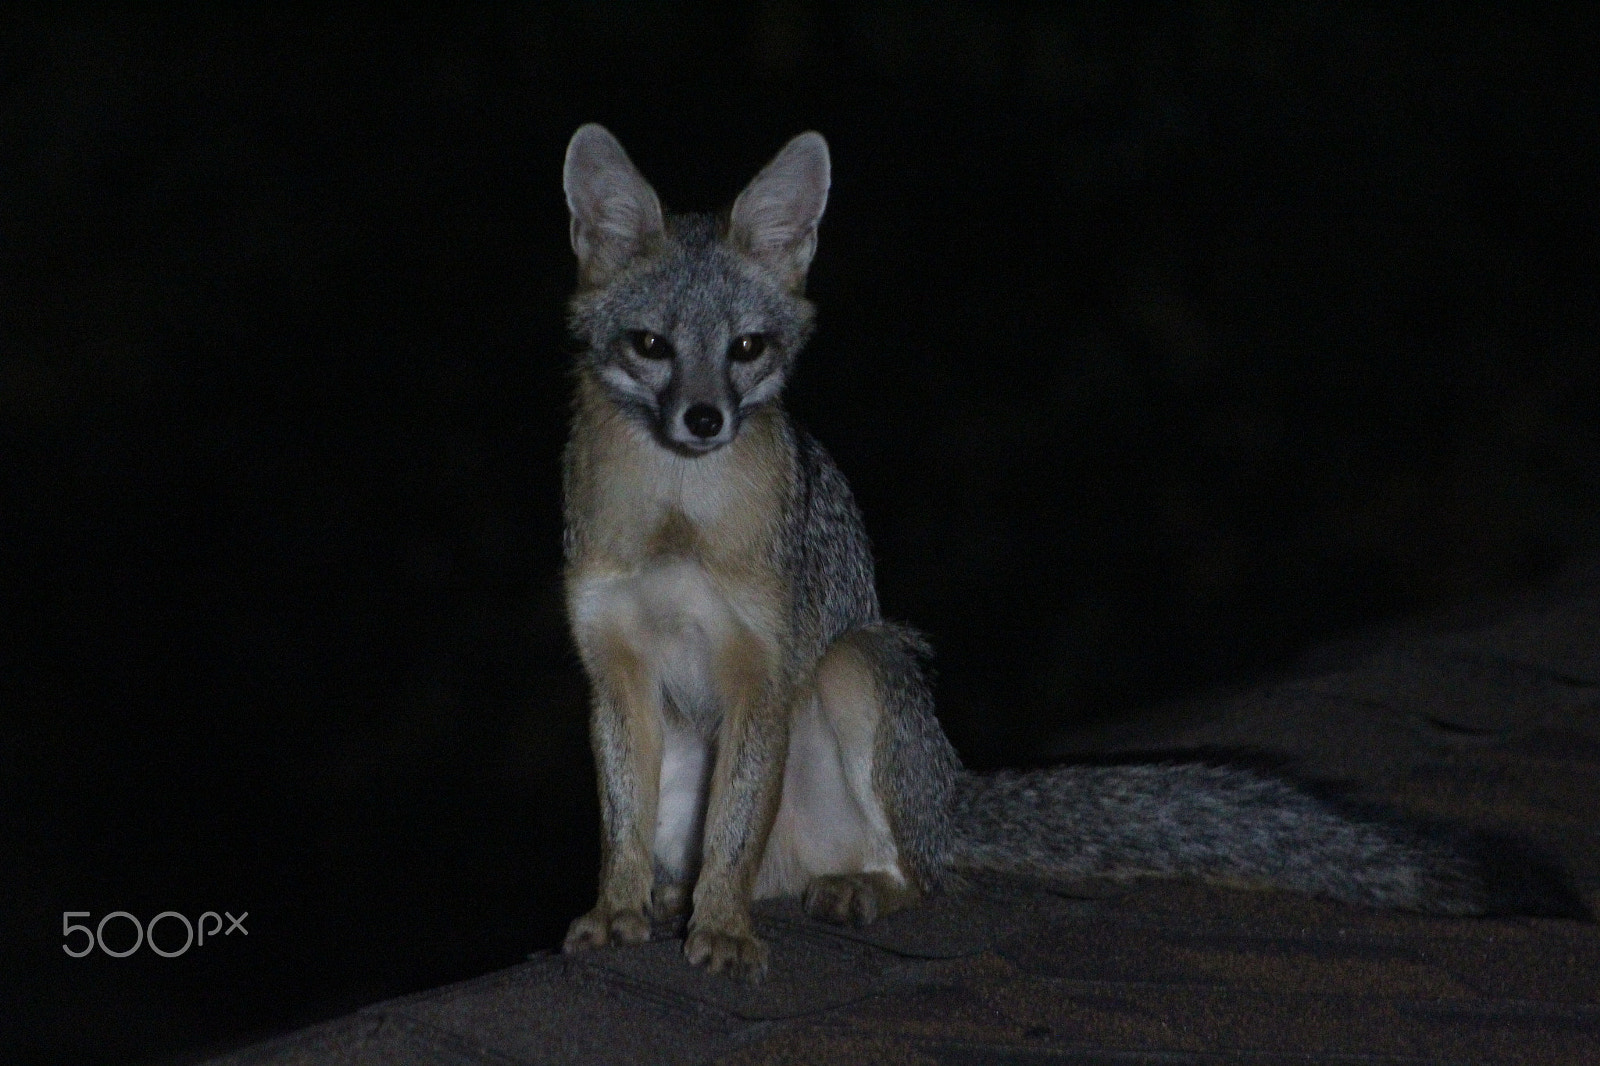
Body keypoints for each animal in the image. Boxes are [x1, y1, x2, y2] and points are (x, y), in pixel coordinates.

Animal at [553, 122, 1587, 979]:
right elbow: (619, 825)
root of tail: (951, 796)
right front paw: (619, 910)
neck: (678, 522)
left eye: (747, 349)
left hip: (859, 663)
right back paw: (676, 898)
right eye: (651, 345)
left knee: (925, 872)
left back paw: (858, 886)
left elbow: (733, 839)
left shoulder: (762, 670)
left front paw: (724, 931)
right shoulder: (615, 666)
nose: (704, 420)